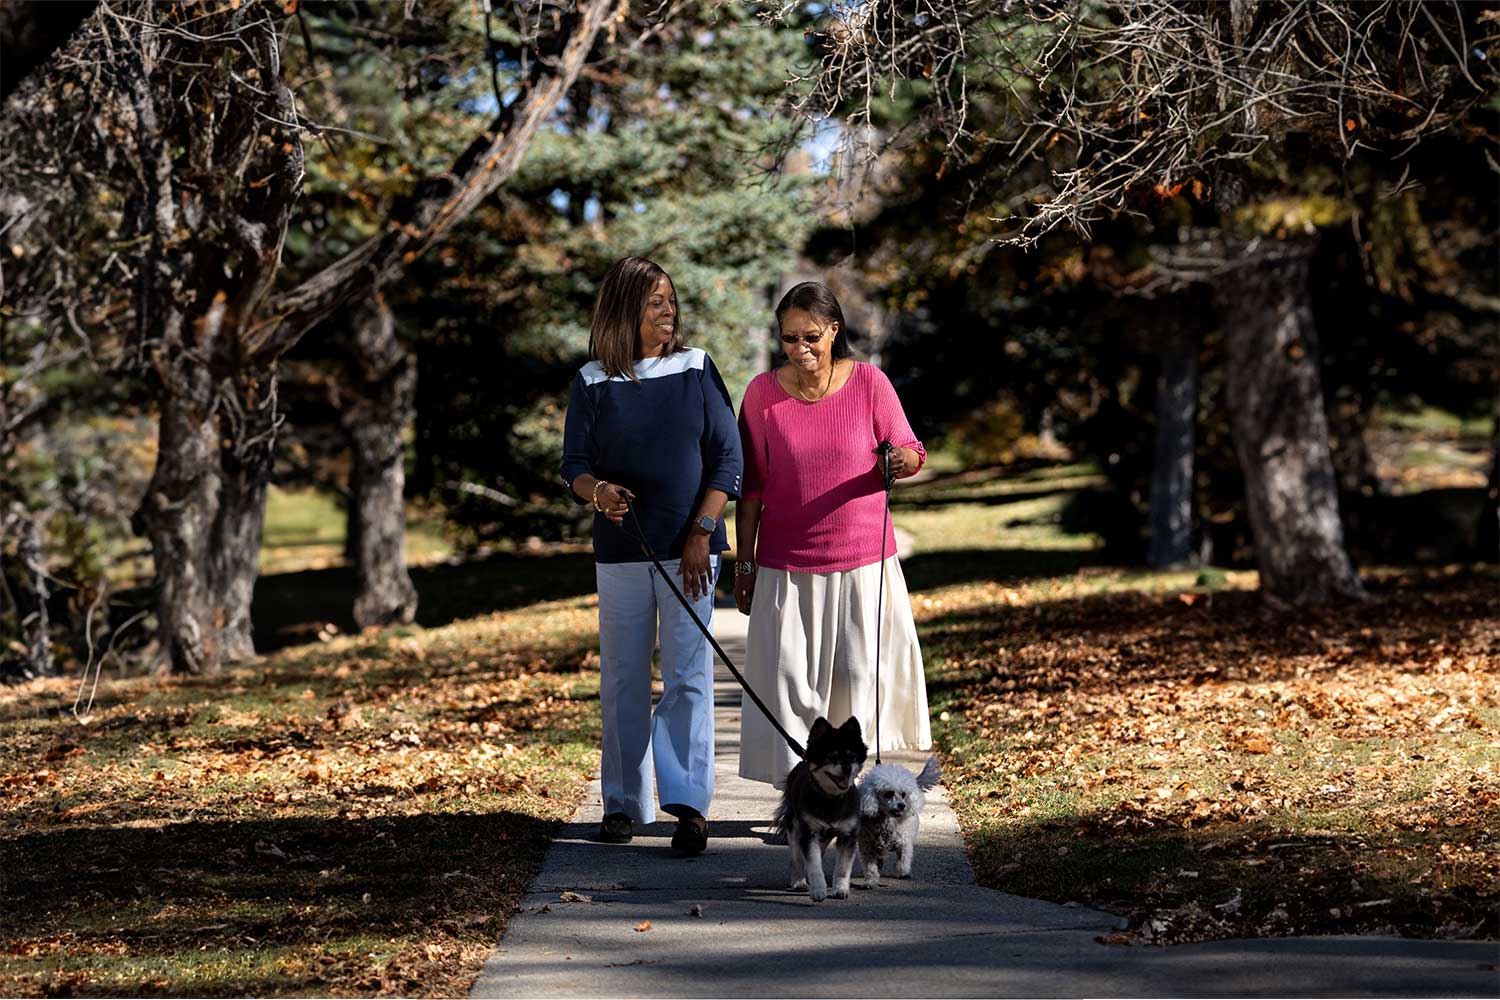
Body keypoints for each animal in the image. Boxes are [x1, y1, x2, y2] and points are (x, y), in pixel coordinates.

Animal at [774, 716, 870, 905]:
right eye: (832, 757)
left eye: (852, 757)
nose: (847, 768)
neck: (830, 799)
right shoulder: (809, 833)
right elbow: (814, 864)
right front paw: (818, 889)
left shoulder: (848, 835)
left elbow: (843, 867)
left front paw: (841, 889)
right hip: (794, 827)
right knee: (796, 858)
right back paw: (799, 882)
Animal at [858, 755, 936, 887]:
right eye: (889, 793)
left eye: (903, 794)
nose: (902, 806)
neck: (887, 821)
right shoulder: (867, 847)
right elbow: (870, 867)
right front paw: (870, 881)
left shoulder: (904, 842)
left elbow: (903, 860)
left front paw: (902, 873)